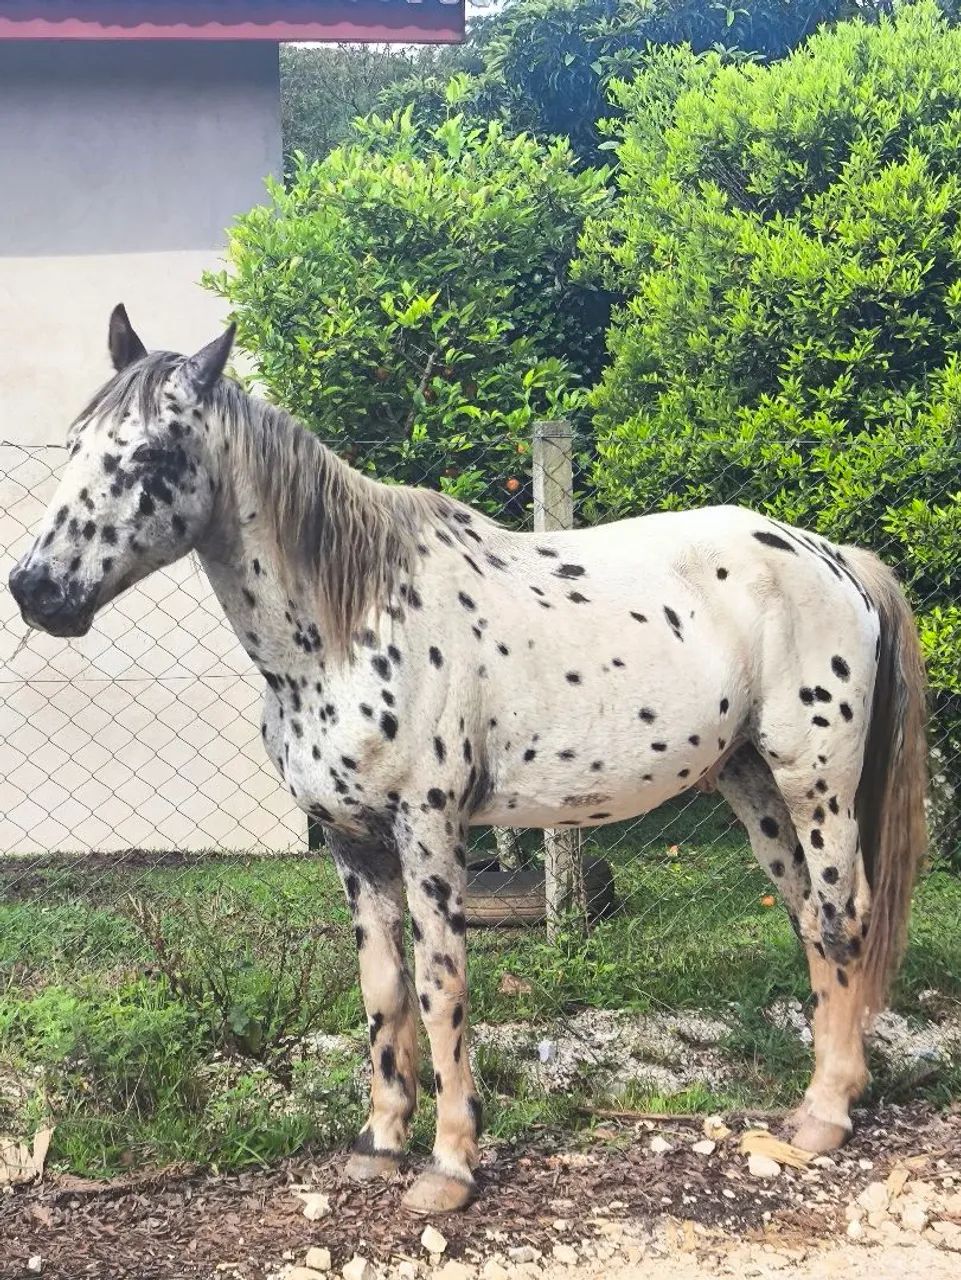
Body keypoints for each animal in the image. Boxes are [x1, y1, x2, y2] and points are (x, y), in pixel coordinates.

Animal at [9, 307, 928, 1213]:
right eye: (75, 444)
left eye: (151, 454)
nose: (34, 590)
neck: (348, 625)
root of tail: (834, 559)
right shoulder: (352, 842)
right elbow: (382, 990)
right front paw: (380, 1146)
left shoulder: (428, 829)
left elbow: (440, 985)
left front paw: (449, 1166)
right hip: (751, 786)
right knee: (808, 917)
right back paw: (821, 1100)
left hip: (816, 784)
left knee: (842, 917)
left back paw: (827, 1117)